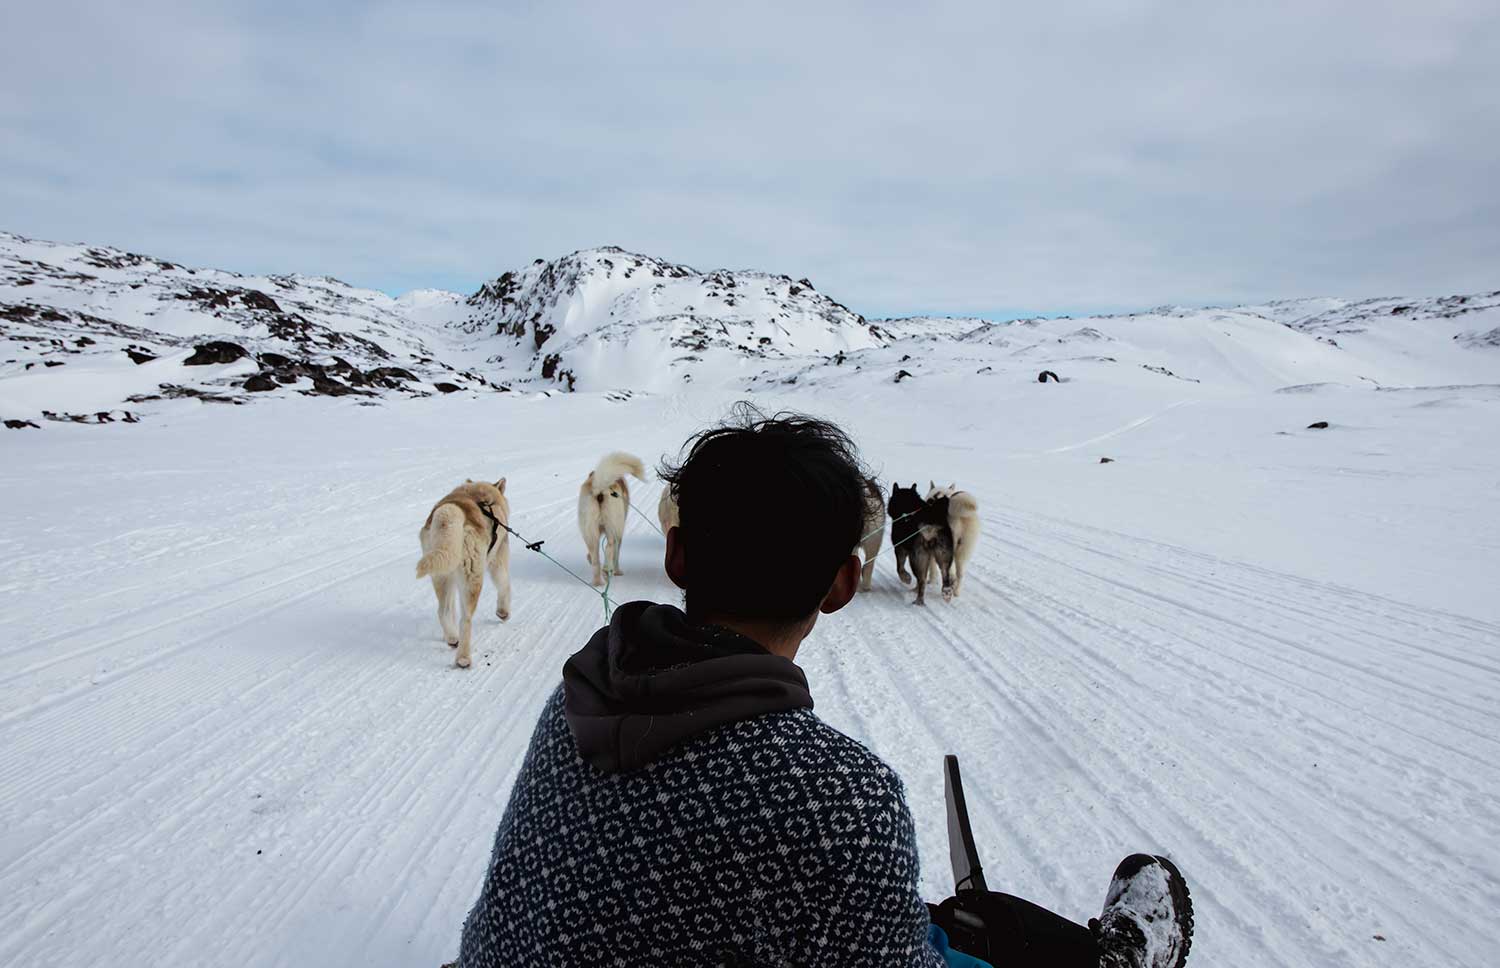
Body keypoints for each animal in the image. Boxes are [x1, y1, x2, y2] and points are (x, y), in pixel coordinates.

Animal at [414, 474, 513, 663]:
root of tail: (450, 512)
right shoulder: (498, 558)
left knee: (444, 611)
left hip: (442, 574)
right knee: (465, 619)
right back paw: (463, 659)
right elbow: (504, 585)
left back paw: (452, 638)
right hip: (472, 578)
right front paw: (503, 613)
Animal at [573, 450, 645, 585]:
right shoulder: (619, 534)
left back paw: (598, 582)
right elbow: (616, 554)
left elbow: (590, 556)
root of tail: (600, 488)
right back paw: (607, 569)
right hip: (613, 529)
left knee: (595, 559)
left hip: (590, 533)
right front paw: (617, 571)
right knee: (609, 548)